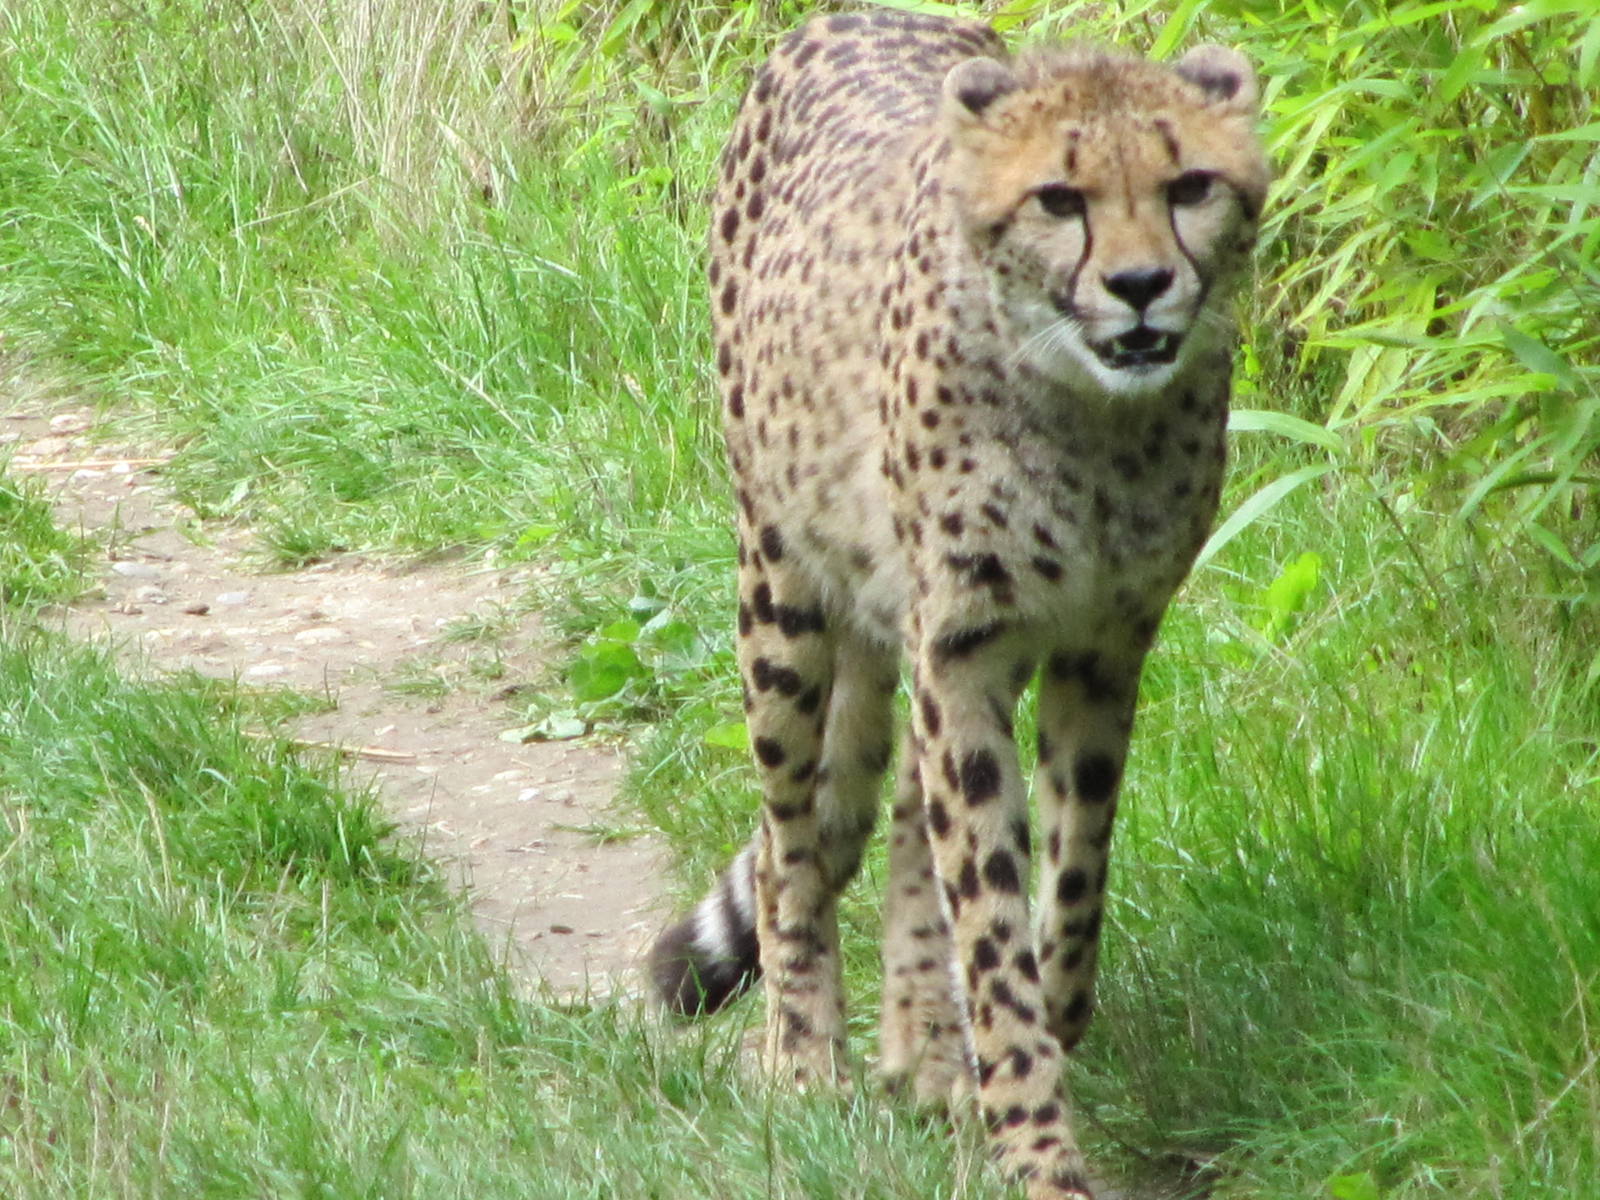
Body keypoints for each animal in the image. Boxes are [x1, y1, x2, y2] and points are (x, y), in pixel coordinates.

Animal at [647, 9, 1268, 1197]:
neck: (1092, 420)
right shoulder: (963, 645)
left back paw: (924, 1051)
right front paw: (1034, 1138)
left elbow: (1071, 875)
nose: (1139, 285)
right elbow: (985, 898)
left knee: (895, 819)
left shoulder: (1102, 643)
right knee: (793, 840)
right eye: (1059, 199)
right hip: (783, 588)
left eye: (1190, 184)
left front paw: (1035, 1032)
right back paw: (805, 1056)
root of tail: (849, 18)